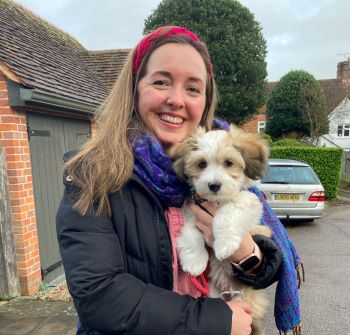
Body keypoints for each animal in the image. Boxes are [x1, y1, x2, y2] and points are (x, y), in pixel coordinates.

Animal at [170, 124, 270, 334]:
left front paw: (224, 245)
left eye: (229, 163)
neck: (216, 201)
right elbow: (191, 234)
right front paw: (194, 261)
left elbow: (228, 214)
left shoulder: (250, 203)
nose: (213, 185)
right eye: (201, 164)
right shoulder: (191, 211)